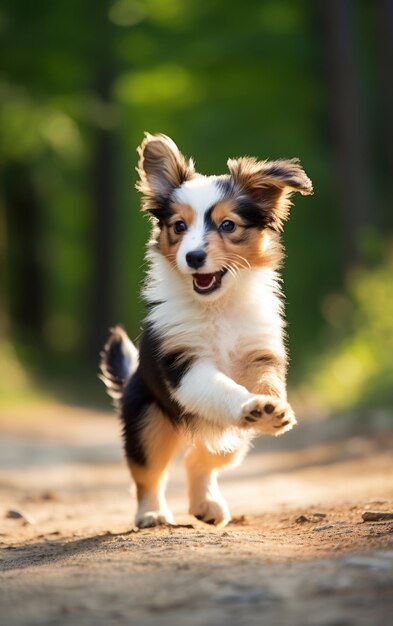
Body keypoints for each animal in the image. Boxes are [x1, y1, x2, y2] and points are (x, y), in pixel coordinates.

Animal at [99, 133, 312, 528]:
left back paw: (206, 504)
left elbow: (267, 384)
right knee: (148, 473)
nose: (194, 257)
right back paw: (152, 513)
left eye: (228, 225)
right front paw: (251, 403)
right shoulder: (185, 365)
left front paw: (272, 409)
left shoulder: (259, 354)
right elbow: (221, 387)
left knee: (200, 458)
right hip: (148, 421)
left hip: (236, 439)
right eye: (178, 226)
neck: (218, 308)